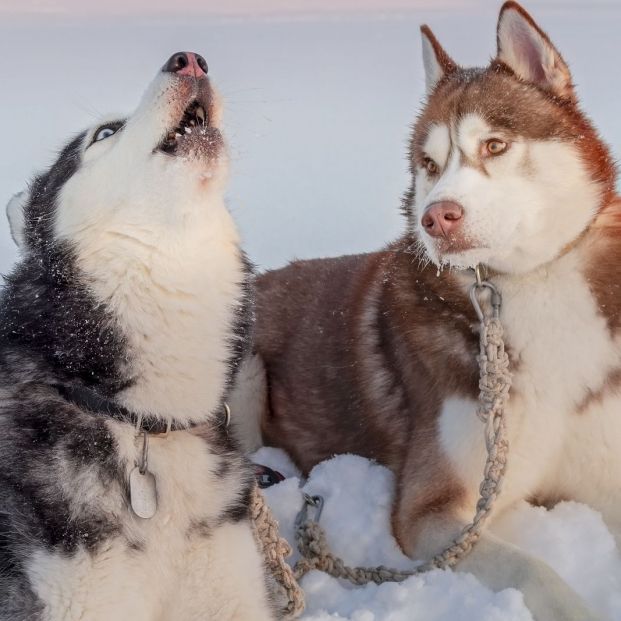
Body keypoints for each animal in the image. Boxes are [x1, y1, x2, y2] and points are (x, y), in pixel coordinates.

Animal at [231, 2, 616, 616]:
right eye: (429, 164)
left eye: (495, 145)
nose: (437, 217)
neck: (528, 288)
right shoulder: (431, 511)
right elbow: (533, 567)